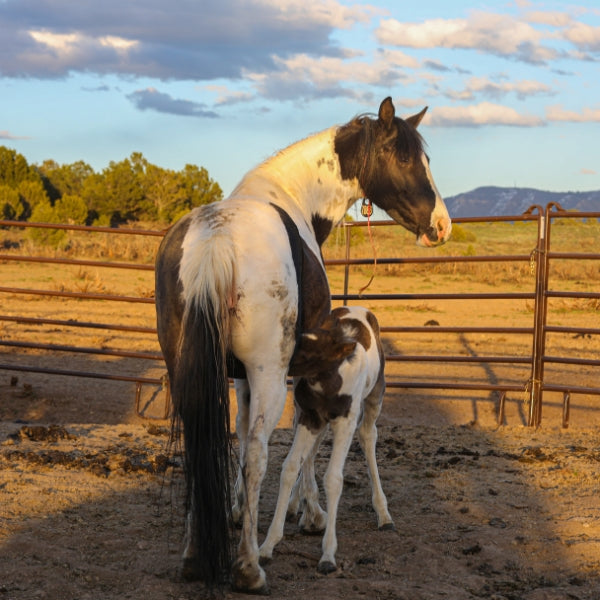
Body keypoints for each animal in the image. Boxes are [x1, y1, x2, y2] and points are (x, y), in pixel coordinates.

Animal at [258, 308, 394, 576]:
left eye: (311, 353)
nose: (277, 359)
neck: (327, 382)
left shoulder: (345, 420)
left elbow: (333, 478)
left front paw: (328, 555)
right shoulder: (310, 417)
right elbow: (290, 467)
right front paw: (267, 546)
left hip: (375, 394)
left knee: (368, 435)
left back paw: (383, 514)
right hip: (316, 419)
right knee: (313, 451)